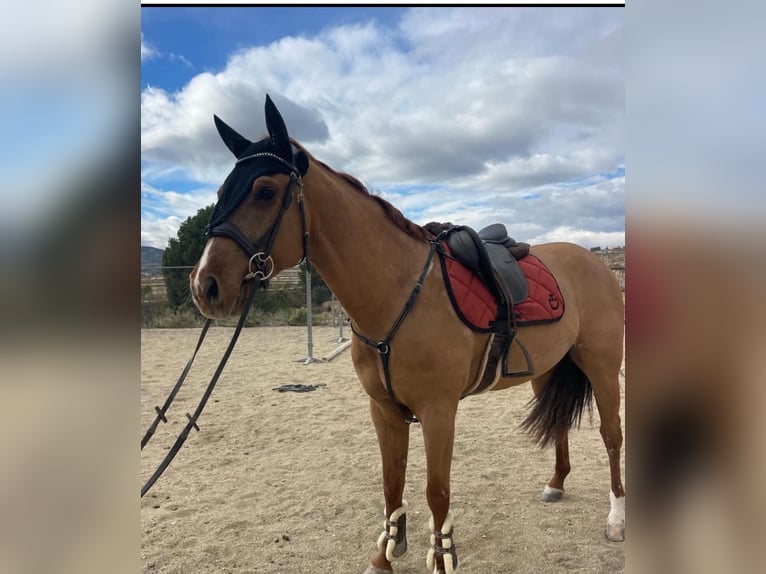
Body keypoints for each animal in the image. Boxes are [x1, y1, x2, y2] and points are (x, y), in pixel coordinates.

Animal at [189, 97, 628, 572]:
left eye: (266, 191)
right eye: (221, 191)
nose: (204, 285)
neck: (397, 293)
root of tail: (595, 261)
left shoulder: (438, 412)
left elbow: (437, 492)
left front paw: (442, 557)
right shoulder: (384, 410)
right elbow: (391, 483)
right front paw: (384, 555)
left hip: (603, 368)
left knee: (612, 435)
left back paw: (616, 519)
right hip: (547, 370)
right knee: (561, 422)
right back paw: (556, 483)